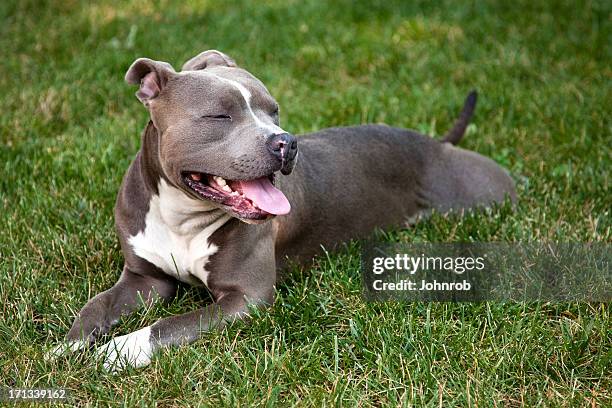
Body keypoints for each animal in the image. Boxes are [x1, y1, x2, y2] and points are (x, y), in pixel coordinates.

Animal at [49, 50, 516, 370]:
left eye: (273, 111)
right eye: (219, 116)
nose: (286, 142)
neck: (184, 214)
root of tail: (436, 144)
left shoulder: (246, 298)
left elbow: (169, 325)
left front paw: (118, 349)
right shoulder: (145, 279)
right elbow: (96, 306)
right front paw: (66, 346)